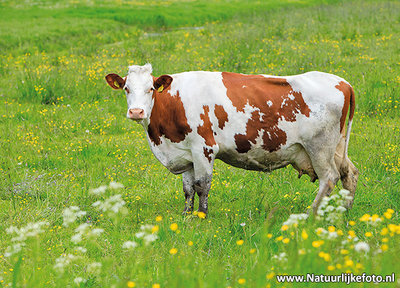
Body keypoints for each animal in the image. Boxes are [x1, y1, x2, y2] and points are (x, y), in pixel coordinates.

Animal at [105, 64, 360, 215]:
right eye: (126, 88)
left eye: (151, 88)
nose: (136, 112)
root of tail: (343, 82)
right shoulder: (185, 154)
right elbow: (187, 189)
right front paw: (186, 216)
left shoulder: (204, 148)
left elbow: (202, 186)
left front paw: (202, 216)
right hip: (337, 147)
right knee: (350, 173)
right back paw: (344, 212)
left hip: (319, 147)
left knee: (329, 178)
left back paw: (311, 215)